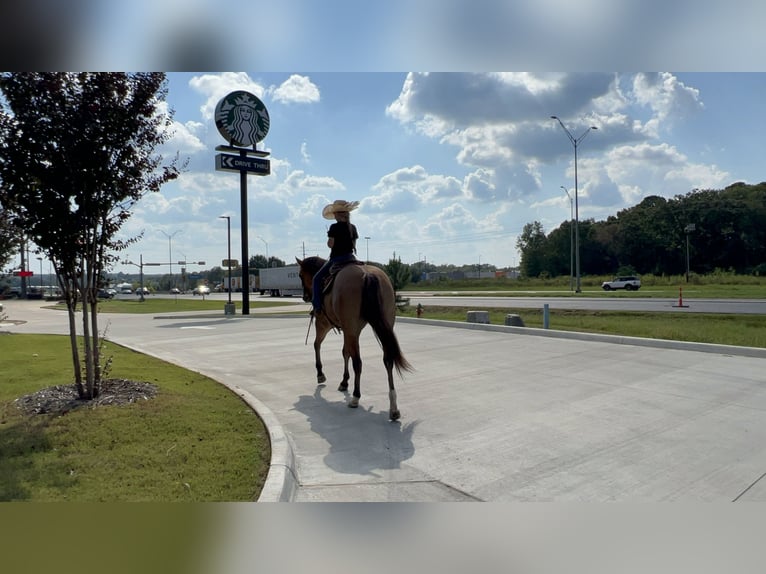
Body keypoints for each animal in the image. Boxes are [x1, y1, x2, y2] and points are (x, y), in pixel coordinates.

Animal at [296, 258, 414, 420]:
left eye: (301, 275)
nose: (305, 297)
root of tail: (367, 275)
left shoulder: (324, 324)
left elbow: (318, 345)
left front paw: (321, 374)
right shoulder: (348, 330)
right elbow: (346, 352)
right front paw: (344, 381)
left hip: (349, 328)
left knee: (358, 362)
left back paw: (356, 397)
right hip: (384, 325)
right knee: (387, 360)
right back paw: (393, 407)